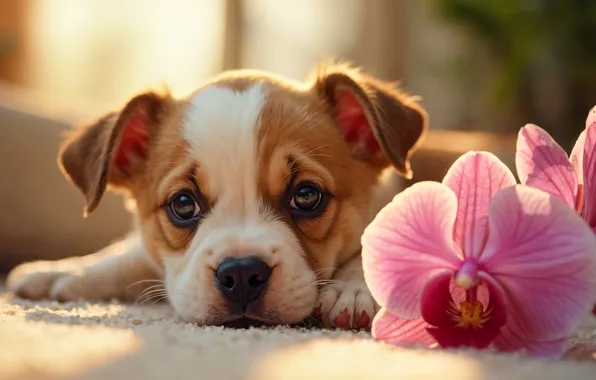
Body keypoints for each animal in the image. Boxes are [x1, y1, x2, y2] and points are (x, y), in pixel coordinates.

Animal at [7, 63, 426, 330]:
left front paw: (352, 289)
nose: (240, 274)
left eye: (306, 196)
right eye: (182, 204)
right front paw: (63, 270)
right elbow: (130, 256)